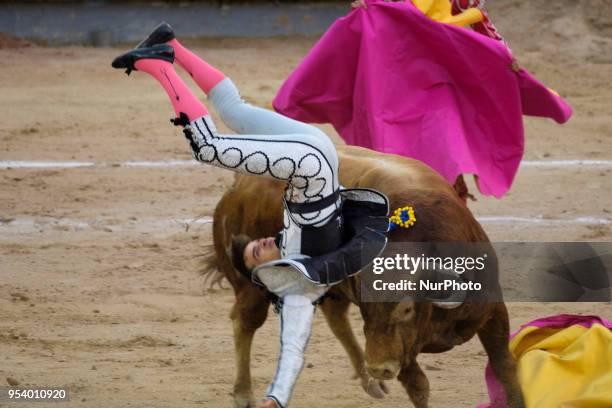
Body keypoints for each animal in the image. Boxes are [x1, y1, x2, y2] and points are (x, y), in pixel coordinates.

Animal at [203, 145, 524, 406]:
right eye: (367, 310)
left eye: (407, 308)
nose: (378, 367)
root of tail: (239, 186)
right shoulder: (399, 348)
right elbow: (418, 386)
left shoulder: (493, 309)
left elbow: (504, 366)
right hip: (252, 287)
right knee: (244, 321)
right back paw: (243, 394)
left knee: (335, 316)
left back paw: (370, 382)